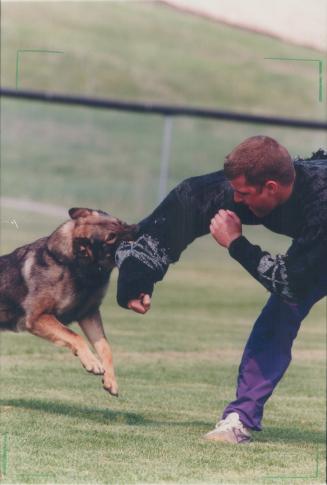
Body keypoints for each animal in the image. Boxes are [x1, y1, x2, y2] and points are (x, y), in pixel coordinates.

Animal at [0, 206, 136, 396]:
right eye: (111, 237)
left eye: (120, 222)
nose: (138, 228)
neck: (74, 265)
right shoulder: (39, 318)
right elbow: (75, 336)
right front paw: (92, 363)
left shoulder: (89, 315)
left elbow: (105, 347)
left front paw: (110, 380)